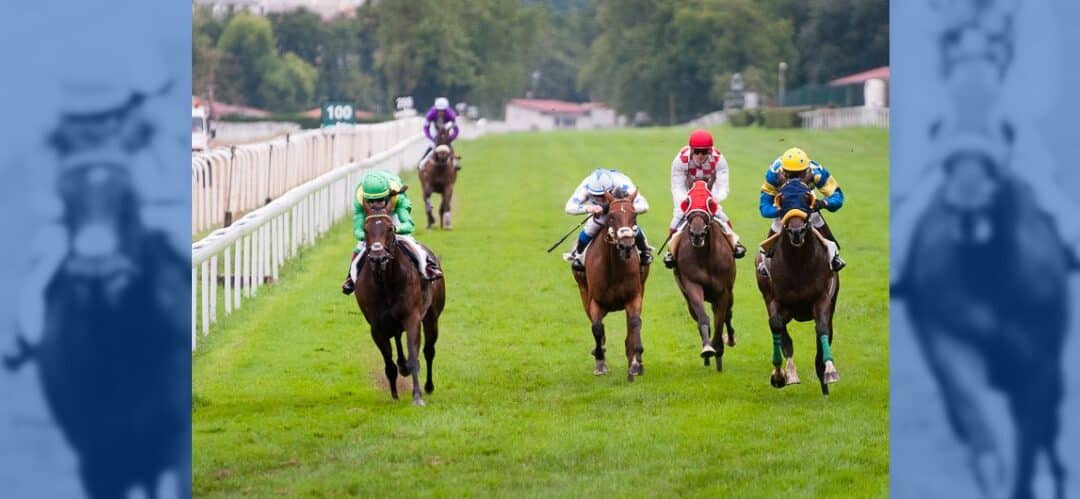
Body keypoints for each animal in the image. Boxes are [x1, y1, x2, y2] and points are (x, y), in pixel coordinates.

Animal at [349, 195, 442, 406]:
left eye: (390, 228)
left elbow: (415, 357)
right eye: (365, 230)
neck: (386, 283)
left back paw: (429, 386)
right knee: (398, 340)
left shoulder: (412, 318)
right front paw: (394, 395)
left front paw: (417, 396)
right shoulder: (376, 327)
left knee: (429, 350)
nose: (377, 256)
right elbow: (389, 363)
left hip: (432, 317)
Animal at [574, 190, 648, 382]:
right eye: (612, 216)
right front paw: (600, 362)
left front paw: (636, 363)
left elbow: (635, 323)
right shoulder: (596, 302)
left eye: (634, 215)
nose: (626, 245)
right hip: (583, 292)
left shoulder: (634, 297)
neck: (614, 266)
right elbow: (596, 327)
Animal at [669, 181, 738, 369]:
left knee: (728, 313)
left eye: (710, 203)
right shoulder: (692, 285)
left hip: (728, 294)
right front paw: (708, 348)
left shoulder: (723, 291)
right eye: (687, 202)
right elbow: (703, 317)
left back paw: (730, 339)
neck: (705, 256)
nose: (697, 234)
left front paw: (719, 348)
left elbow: (720, 320)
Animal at [756, 178, 838, 393]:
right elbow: (777, 327)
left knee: (826, 330)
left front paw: (829, 370)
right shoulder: (776, 300)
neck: (798, 265)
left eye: (807, 201)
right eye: (782, 202)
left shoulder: (822, 297)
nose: (796, 232)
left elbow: (822, 328)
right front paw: (781, 375)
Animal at [894, 147, 1071, 499]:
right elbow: (978, 423)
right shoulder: (950, 338)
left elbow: (1031, 436)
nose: (967, 202)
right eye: (948, 165)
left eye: (995, 169)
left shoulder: (1040, 360)